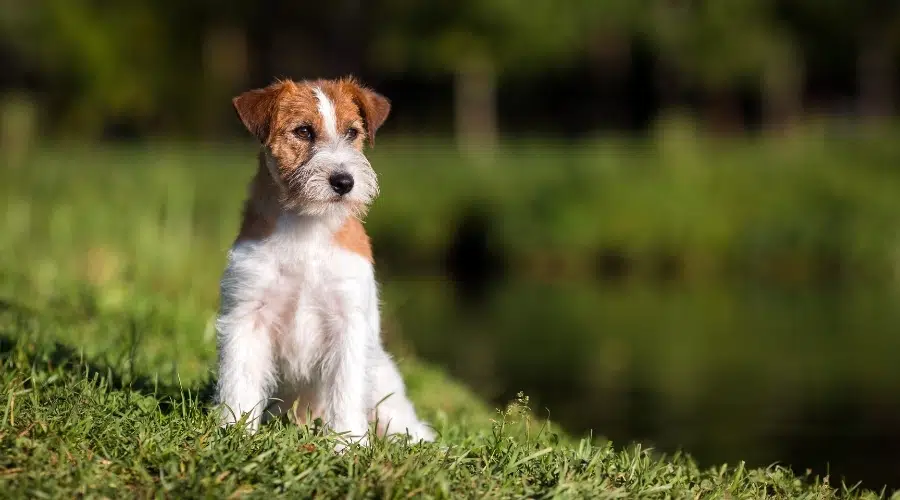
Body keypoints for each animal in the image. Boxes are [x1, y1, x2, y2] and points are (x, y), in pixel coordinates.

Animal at [213, 77, 434, 446]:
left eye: (352, 132)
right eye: (303, 131)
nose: (344, 182)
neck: (308, 227)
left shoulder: (347, 322)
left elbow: (345, 389)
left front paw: (347, 443)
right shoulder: (248, 314)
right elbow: (239, 380)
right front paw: (235, 432)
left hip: (386, 395)